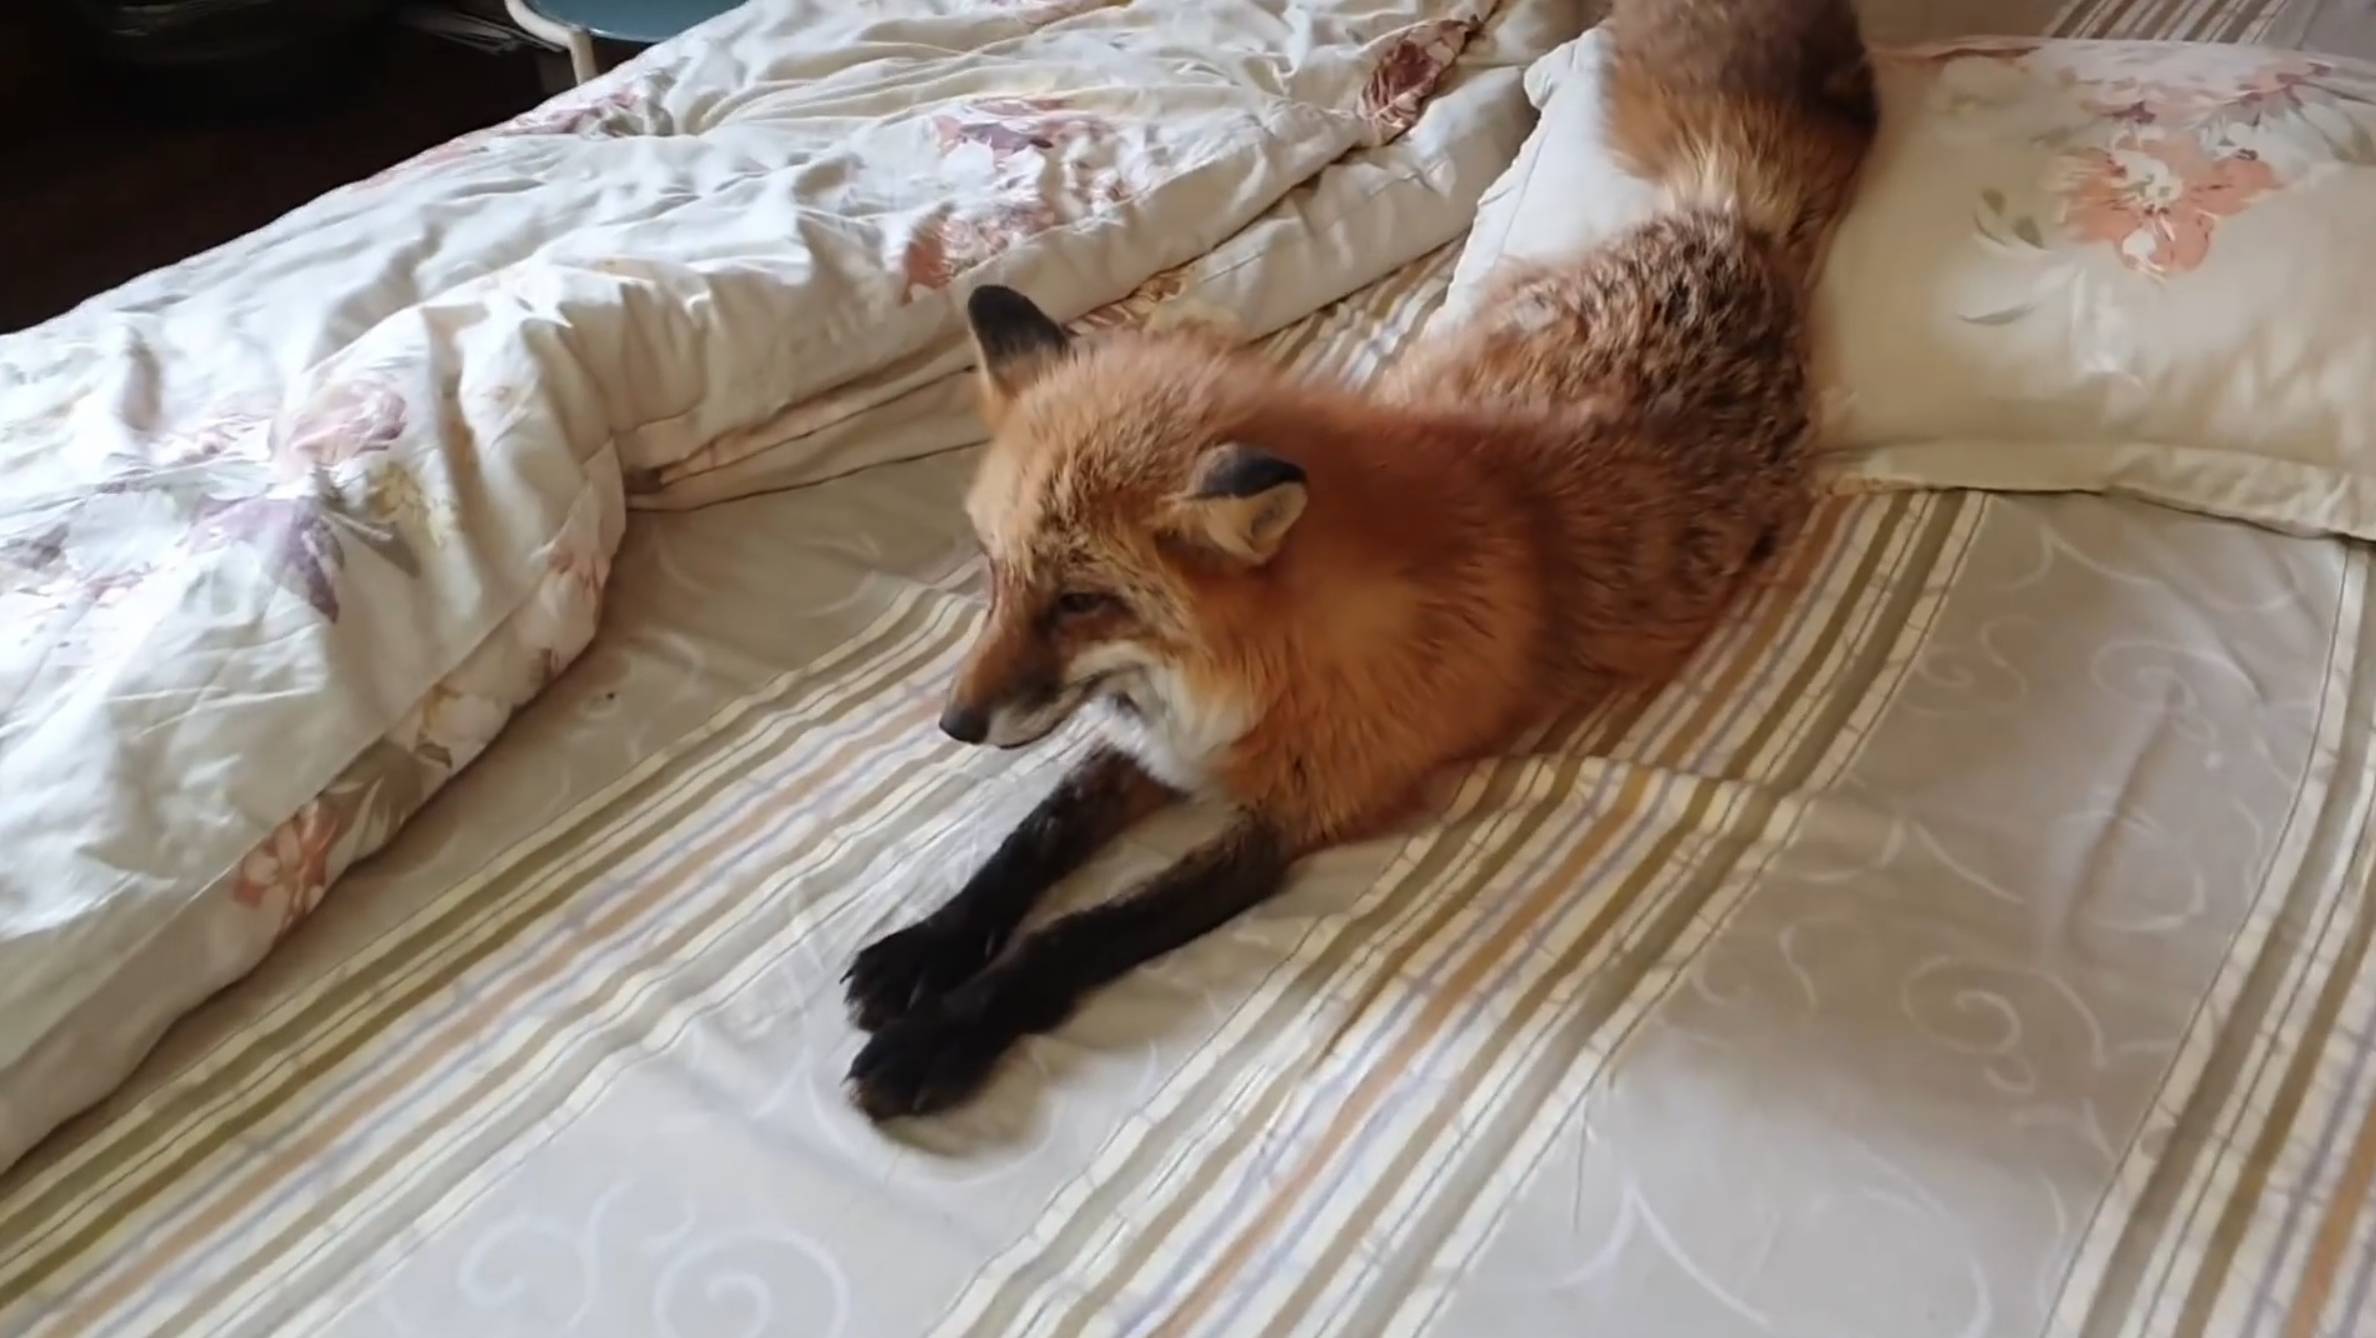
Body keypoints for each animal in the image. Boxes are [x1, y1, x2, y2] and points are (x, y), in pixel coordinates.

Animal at [842, 0, 1879, 1119]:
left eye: (1080, 602)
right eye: (996, 574)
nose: (954, 724)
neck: (1236, 678)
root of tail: (1730, 220)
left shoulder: (1290, 820)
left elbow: (1082, 934)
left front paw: (944, 1033)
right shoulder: (1154, 753)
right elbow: (1032, 837)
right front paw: (928, 944)